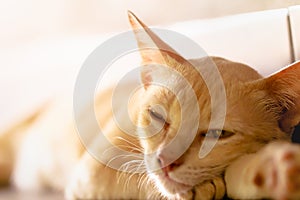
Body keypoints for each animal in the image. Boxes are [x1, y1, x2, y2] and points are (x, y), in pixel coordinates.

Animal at [0, 11, 300, 200]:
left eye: (218, 135)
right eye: (157, 115)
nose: (166, 161)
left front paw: (272, 173)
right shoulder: (92, 174)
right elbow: (139, 179)